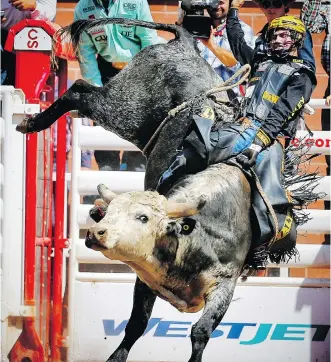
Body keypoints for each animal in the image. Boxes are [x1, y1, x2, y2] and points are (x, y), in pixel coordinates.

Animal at [15, 19, 253, 362]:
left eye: (143, 218)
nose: (97, 231)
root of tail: (182, 43)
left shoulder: (225, 285)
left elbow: (200, 331)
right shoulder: (145, 279)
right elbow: (137, 323)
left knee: (83, 91)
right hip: (126, 109)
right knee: (80, 91)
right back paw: (32, 122)